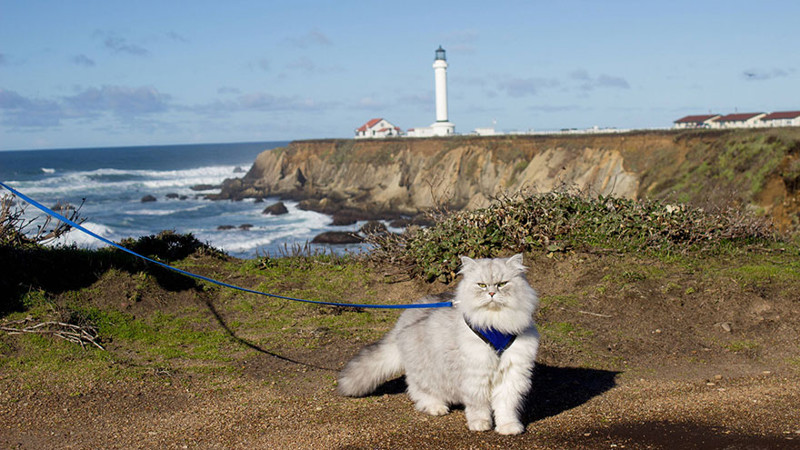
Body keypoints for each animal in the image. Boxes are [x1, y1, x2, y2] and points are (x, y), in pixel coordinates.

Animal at [334, 253, 540, 432]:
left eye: (502, 284)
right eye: (481, 285)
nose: (491, 293)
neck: (496, 323)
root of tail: (403, 319)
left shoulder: (512, 373)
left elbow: (506, 407)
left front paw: (508, 427)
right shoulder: (475, 373)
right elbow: (478, 405)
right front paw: (480, 424)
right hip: (426, 372)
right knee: (419, 391)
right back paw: (435, 407)